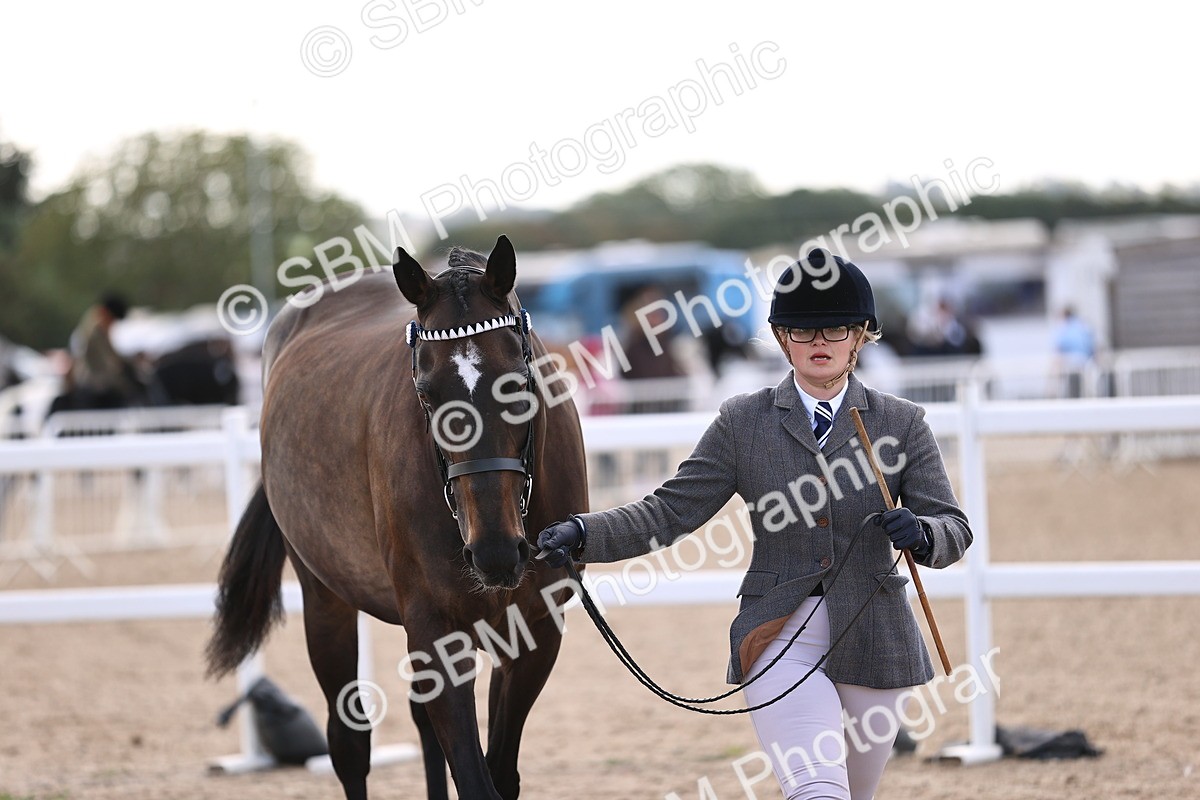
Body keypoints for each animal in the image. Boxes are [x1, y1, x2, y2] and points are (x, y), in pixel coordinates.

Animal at [206, 236, 589, 800]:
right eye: (426, 393)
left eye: (519, 385)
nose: (496, 551)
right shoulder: (435, 632)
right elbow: (474, 778)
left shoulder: (535, 631)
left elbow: (500, 772)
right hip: (325, 601)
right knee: (348, 742)